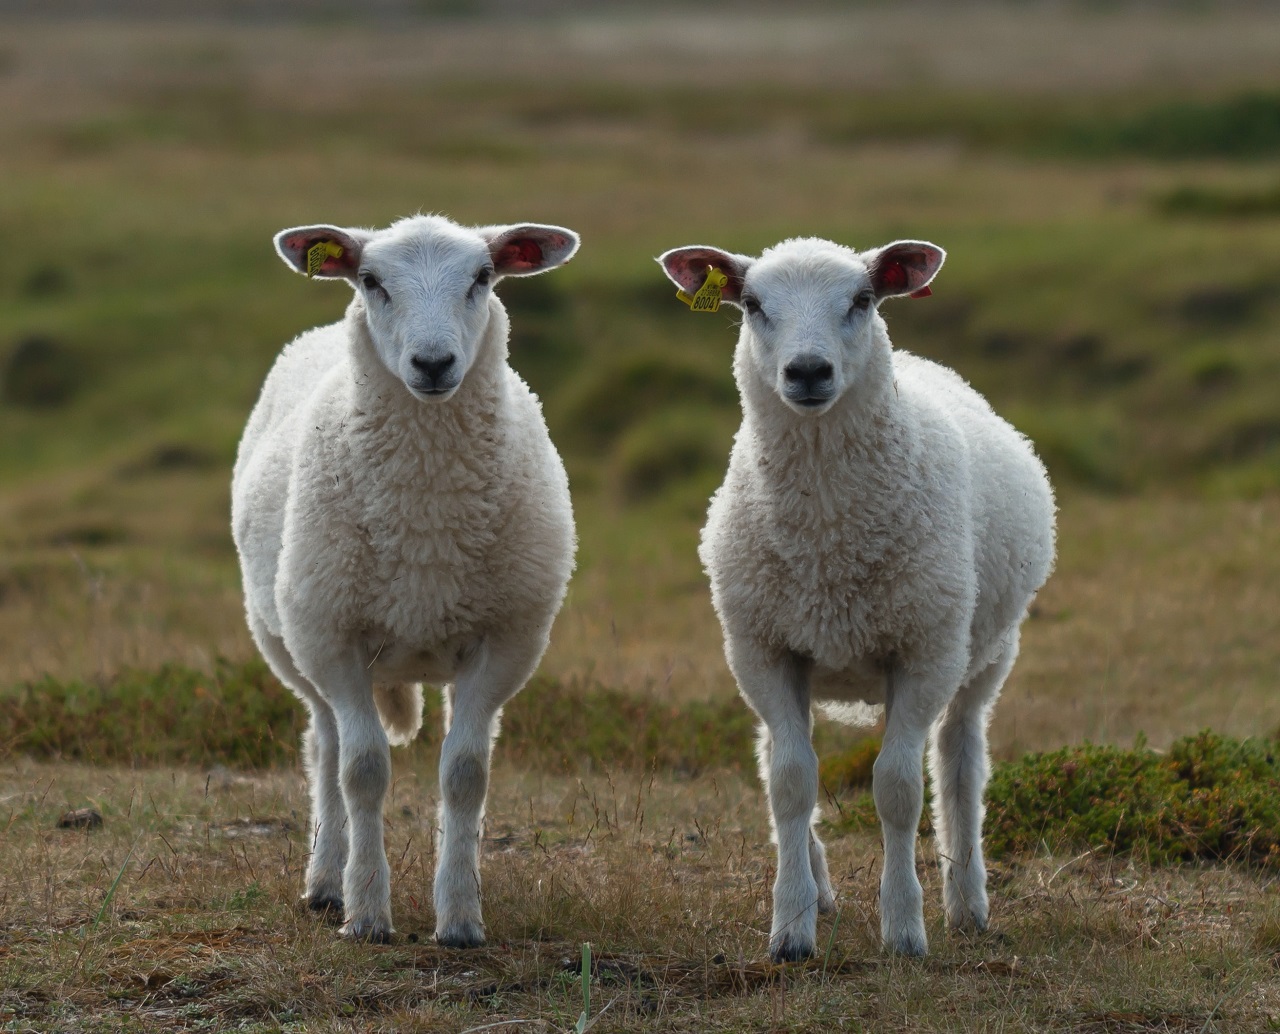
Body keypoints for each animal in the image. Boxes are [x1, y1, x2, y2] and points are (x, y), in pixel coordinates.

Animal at [234, 212, 581, 946]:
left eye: (484, 276)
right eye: (370, 280)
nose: (433, 363)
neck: (426, 516)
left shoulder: (503, 643)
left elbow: (465, 774)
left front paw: (460, 915)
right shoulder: (335, 641)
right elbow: (362, 772)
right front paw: (367, 911)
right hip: (294, 641)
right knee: (326, 748)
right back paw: (326, 881)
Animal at [655, 234, 1054, 962]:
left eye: (863, 299)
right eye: (752, 304)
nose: (808, 371)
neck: (828, 537)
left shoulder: (924, 652)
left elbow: (898, 789)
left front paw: (903, 928)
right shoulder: (764, 651)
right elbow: (791, 783)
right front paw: (791, 928)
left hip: (984, 653)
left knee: (959, 762)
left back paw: (967, 903)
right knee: (776, 757)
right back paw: (820, 888)